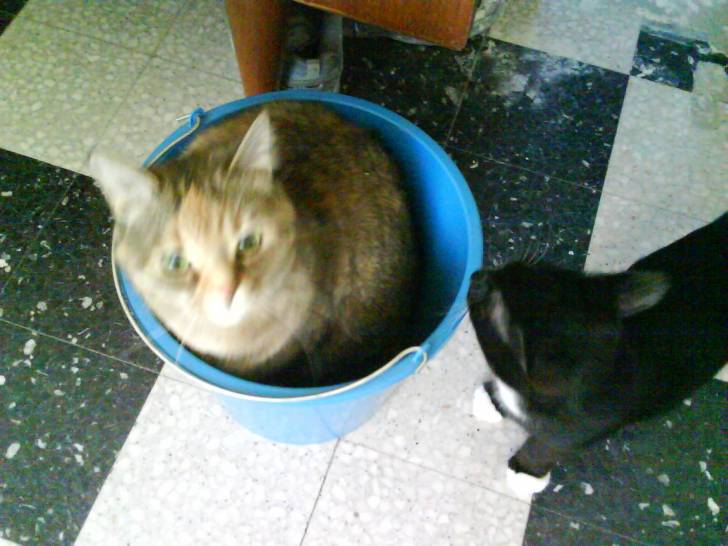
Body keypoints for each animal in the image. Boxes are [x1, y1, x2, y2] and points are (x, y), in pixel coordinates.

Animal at [467, 212, 727, 497]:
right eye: (508, 269)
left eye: (487, 306)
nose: (476, 276)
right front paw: (492, 398)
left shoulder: (577, 428)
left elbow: (547, 446)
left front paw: (525, 471)